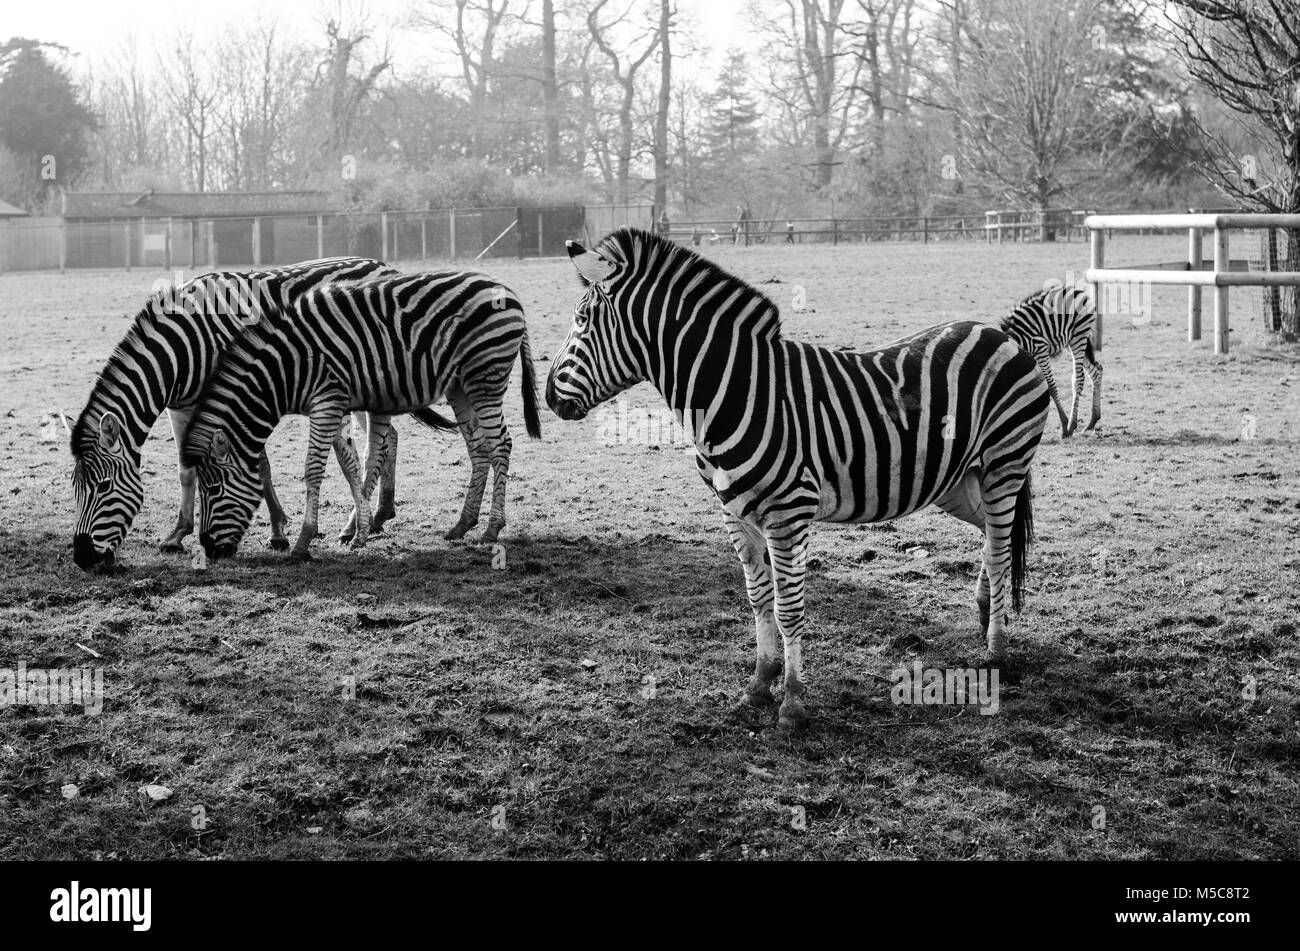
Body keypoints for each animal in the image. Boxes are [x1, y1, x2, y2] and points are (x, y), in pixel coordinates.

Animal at [67, 255, 400, 571]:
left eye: (103, 487)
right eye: (75, 489)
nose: (83, 558)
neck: (185, 348)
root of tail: (384, 265)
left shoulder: (238, 395)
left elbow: (259, 466)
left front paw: (277, 532)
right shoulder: (181, 407)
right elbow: (186, 470)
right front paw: (176, 535)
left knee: (375, 446)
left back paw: (355, 525)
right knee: (391, 437)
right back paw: (381, 513)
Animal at [180, 271, 540, 561]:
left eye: (214, 489)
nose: (208, 548)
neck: (287, 368)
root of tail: (507, 291)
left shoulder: (326, 401)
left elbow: (314, 470)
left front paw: (303, 542)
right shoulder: (333, 405)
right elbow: (353, 465)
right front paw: (358, 534)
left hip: (485, 378)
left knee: (501, 444)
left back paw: (492, 528)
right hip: (460, 386)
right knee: (479, 447)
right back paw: (462, 525)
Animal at [543, 228, 1050, 727]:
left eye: (583, 318)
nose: (548, 397)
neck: (736, 391)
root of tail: (998, 332)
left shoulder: (789, 512)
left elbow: (788, 608)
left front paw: (791, 701)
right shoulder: (735, 513)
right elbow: (758, 598)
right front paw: (758, 686)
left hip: (1004, 462)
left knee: (1001, 549)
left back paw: (996, 651)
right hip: (958, 479)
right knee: (994, 536)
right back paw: (984, 615)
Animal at [998, 278, 1102, 433]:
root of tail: (1076, 290)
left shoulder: (1040, 350)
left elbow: (1051, 386)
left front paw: (1064, 425)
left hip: (1078, 336)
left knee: (1079, 378)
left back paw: (1072, 424)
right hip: (1073, 340)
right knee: (1096, 370)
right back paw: (1092, 421)